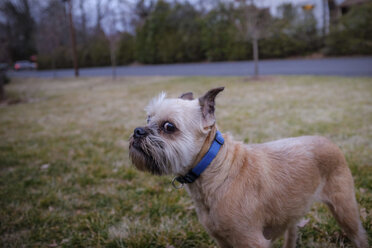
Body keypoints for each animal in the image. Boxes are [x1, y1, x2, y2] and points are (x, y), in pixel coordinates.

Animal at [129, 87, 368, 248]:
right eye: (148, 118)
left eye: (169, 127)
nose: (137, 131)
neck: (216, 169)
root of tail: (327, 141)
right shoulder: (223, 242)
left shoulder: (252, 241)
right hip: (293, 210)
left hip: (344, 209)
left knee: (359, 235)